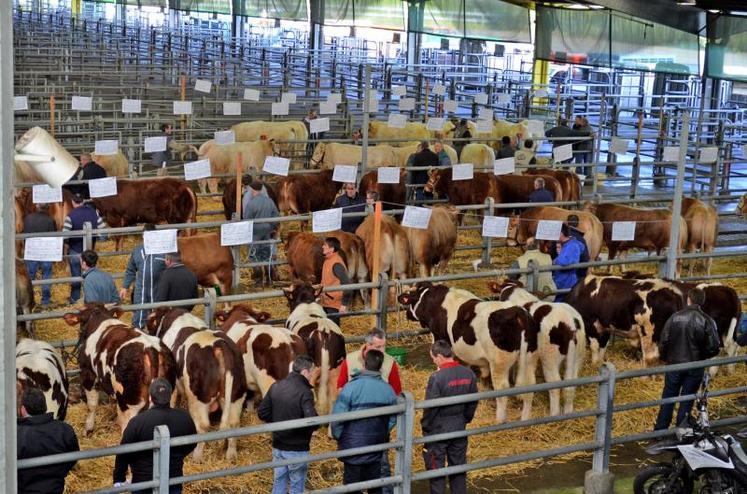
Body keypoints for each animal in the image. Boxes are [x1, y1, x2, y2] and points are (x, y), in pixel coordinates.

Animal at [62, 302, 177, 434]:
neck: (98, 317)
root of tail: (150, 349)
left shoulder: (88, 374)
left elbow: (92, 405)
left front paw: (88, 429)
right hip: (170, 399)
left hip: (128, 404)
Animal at [148, 306, 248, 462]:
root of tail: (219, 345)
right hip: (236, 396)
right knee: (233, 423)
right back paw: (231, 456)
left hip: (199, 399)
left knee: (202, 426)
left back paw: (197, 455)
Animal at [398, 284, 536, 422]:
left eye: (411, 300)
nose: (407, 314)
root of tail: (517, 311)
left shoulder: (439, 337)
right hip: (529, 360)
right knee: (529, 387)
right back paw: (526, 419)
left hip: (499, 362)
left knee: (502, 389)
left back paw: (500, 419)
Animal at [490, 280, 592, 414]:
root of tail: (571, 325)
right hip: (577, 357)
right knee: (571, 385)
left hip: (549, 358)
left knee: (555, 385)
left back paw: (554, 413)